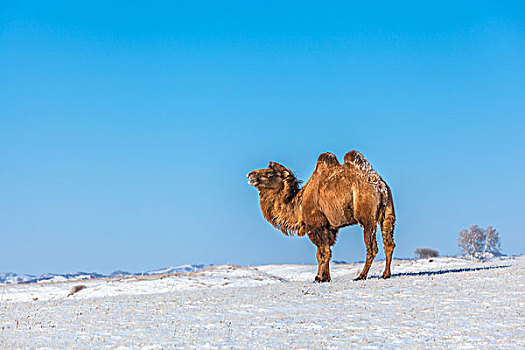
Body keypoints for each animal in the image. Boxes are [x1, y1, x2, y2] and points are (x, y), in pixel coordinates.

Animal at [248, 150, 396, 282]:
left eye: (269, 172)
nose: (250, 175)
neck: (299, 203)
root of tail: (380, 186)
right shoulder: (329, 228)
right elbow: (325, 253)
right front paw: (325, 277)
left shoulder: (316, 225)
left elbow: (323, 252)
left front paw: (320, 278)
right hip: (388, 211)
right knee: (389, 243)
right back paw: (385, 274)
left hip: (366, 215)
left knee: (372, 247)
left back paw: (361, 276)